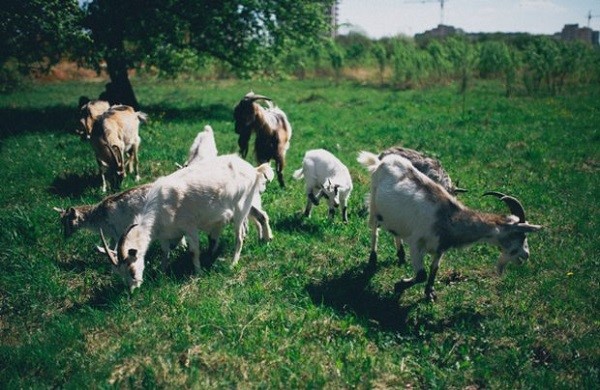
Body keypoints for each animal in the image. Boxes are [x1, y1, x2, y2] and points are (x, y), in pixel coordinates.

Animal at [100, 154, 274, 290]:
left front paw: (198, 272)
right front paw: (162, 273)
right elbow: (165, 253)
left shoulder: (189, 226)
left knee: (240, 236)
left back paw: (233, 263)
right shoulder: (164, 235)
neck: (160, 206)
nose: (132, 289)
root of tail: (254, 170)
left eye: (131, 269)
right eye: (118, 273)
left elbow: (193, 251)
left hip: (241, 208)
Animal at [358, 151, 540, 300]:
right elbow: (422, 274)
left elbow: (434, 269)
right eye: (519, 234)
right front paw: (399, 285)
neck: (449, 217)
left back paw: (401, 255)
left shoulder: (440, 247)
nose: (526, 255)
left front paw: (429, 292)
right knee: (374, 231)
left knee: (395, 232)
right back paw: (373, 259)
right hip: (374, 206)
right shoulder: (416, 243)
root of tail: (380, 161)